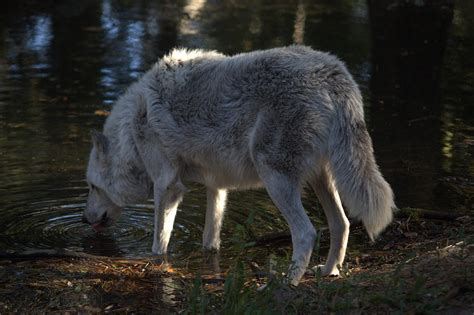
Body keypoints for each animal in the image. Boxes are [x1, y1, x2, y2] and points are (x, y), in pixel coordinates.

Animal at [83, 46, 394, 286]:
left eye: (92, 187)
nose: (84, 220)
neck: (133, 132)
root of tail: (333, 74)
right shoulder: (217, 186)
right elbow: (210, 239)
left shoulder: (168, 187)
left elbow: (160, 240)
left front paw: (154, 264)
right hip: (321, 180)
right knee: (341, 224)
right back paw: (329, 272)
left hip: (276, 179)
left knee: (306, 233)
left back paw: (286, 283)